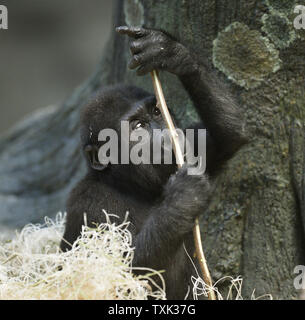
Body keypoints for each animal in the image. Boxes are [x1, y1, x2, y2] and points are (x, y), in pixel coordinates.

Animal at [60, 26, 247, 300]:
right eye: (138, 126)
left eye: (157, 112)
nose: (168, 135)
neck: (130, 186)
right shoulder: (87, 202)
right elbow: (125, 271)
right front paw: (184, 197)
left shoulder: (195, 145)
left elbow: (229, 137)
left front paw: (168, 51)